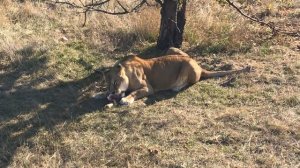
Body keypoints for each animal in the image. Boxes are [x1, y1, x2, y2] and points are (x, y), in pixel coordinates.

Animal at [103, 47, 251, 105]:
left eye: (115, 82)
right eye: (108, 86)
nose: (112, 92)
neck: (127, 71)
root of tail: (199, 66)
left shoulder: (148, 88)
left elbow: (135, 92)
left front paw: (126, 99)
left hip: (187, 64)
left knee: (192, 81)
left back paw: (177, 87)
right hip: (171, 49)